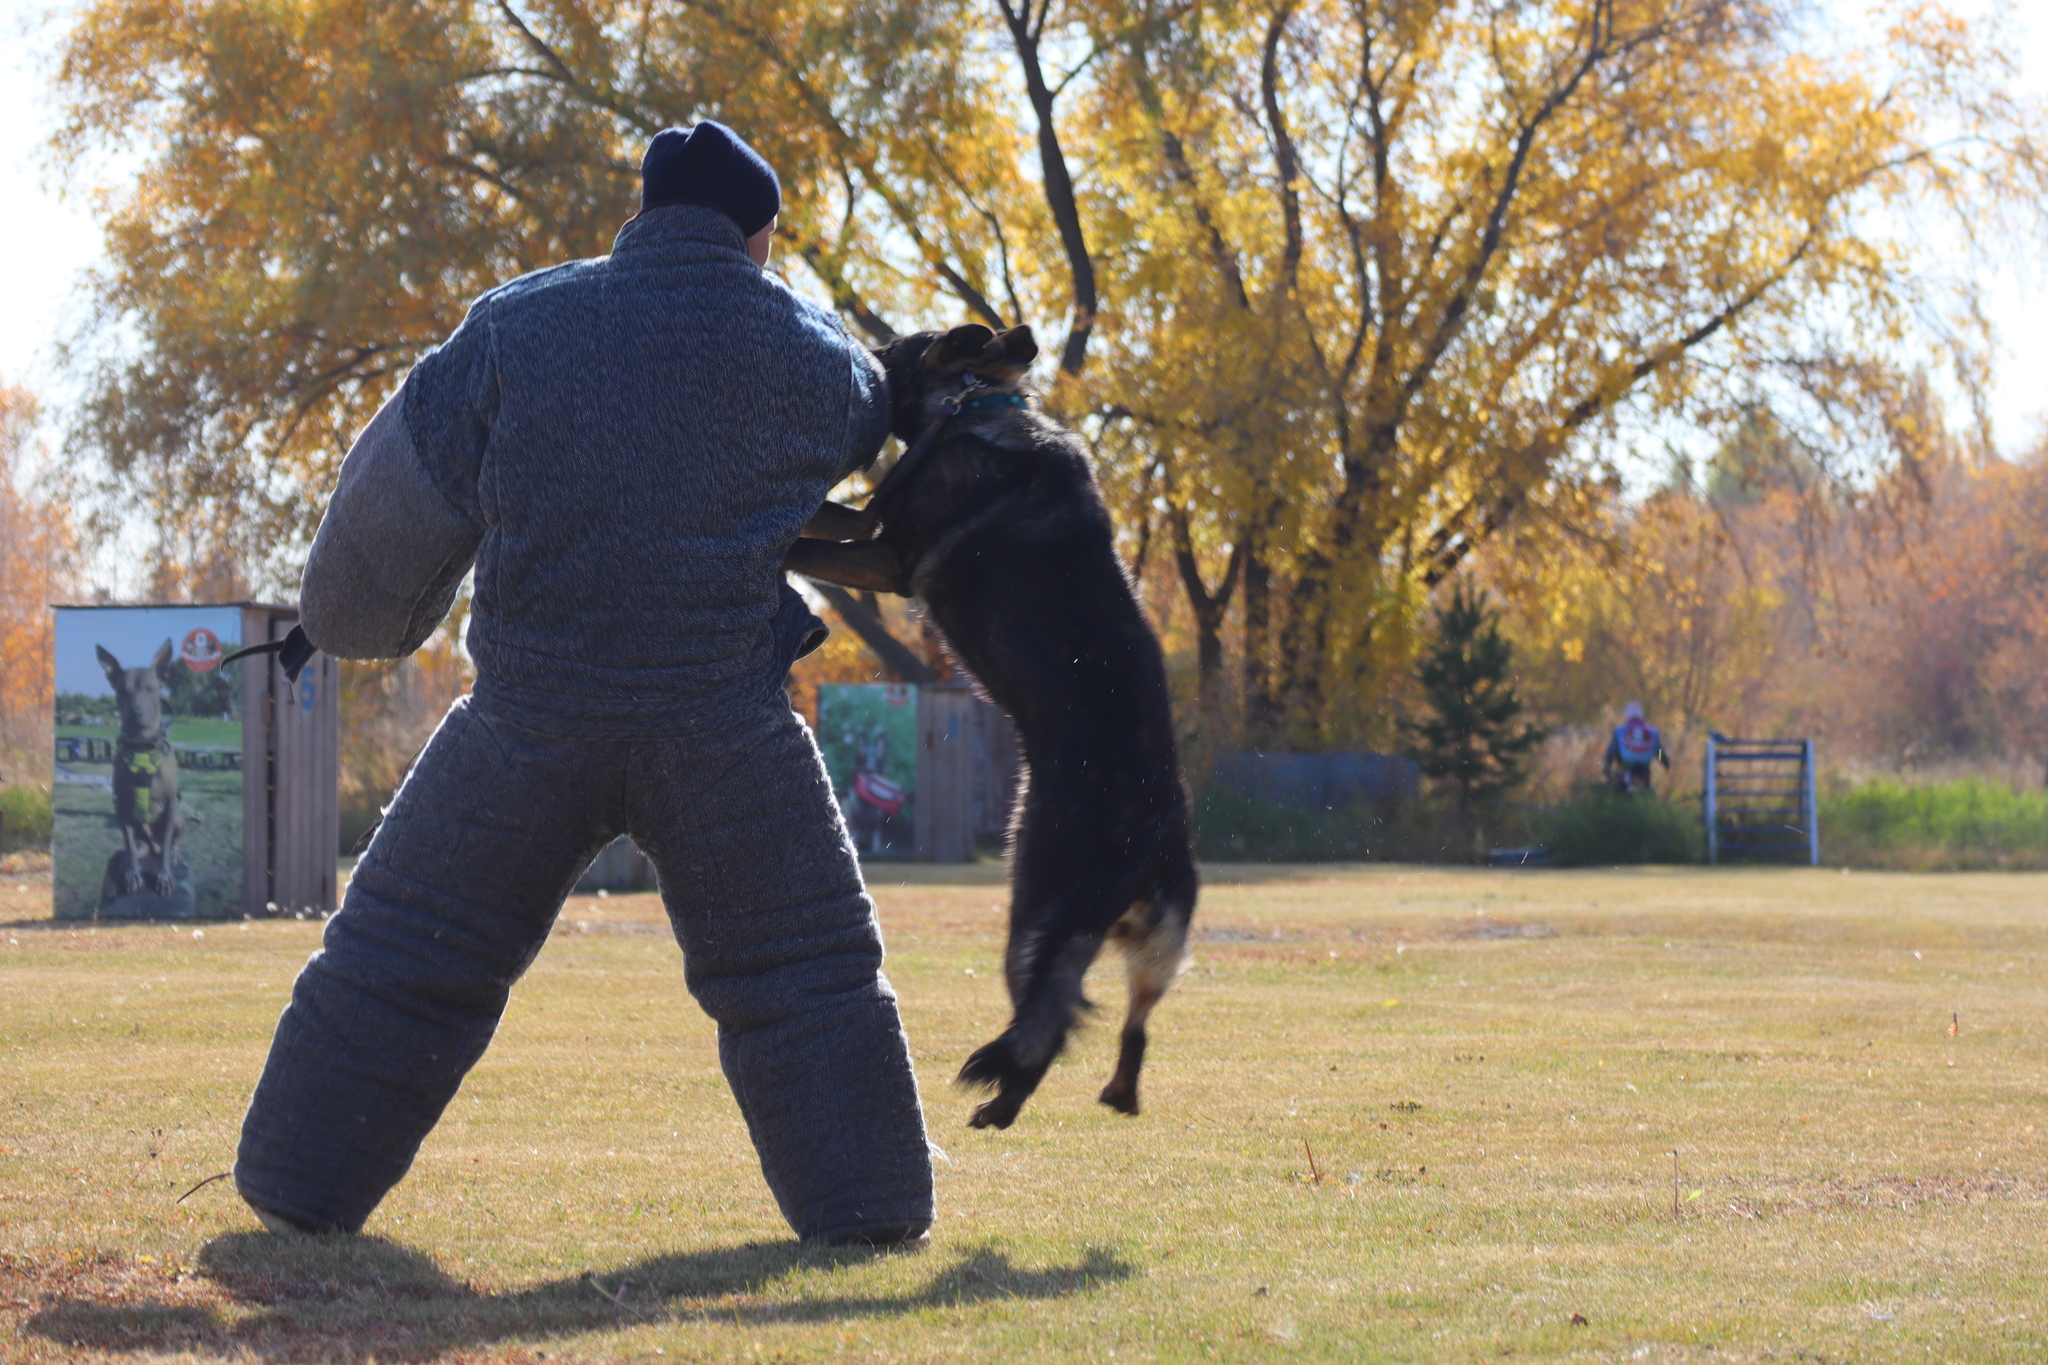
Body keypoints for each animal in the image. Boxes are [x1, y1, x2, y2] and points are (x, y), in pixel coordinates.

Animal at [96, 642, 184, 896]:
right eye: (122, 690)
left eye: (150, 689)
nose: (136, 713)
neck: (142, 747)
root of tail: (151, 844)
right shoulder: (121, 804)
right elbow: (128, 843)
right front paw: (133, 874)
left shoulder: (171, 803)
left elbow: (167, 845)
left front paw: (164, 877)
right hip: (129, 821)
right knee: (134, 846)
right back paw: (131, 858)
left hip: (178, 817)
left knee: (170, 842)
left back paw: (173, 852)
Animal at [782, 323, 1196, 1129]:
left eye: (894, 343)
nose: (858, 347)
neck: (974, 406)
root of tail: (1156, 833)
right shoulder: (872, 530)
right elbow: (817, 513)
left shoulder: (886, 555)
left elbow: (805, 542)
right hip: (1155, 949)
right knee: (1135, 1021)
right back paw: (1118, 1094)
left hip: (1034, 916)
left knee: (1048, 1023)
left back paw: (1002, 1107)